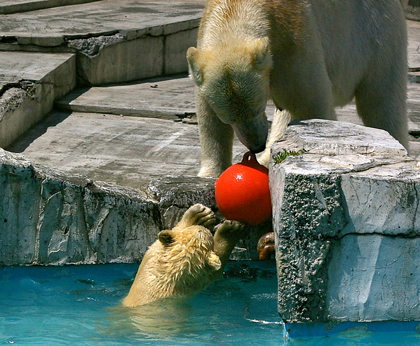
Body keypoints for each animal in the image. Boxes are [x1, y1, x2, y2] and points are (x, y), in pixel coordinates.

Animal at [189, 0, 408, 177]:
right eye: (230, 119)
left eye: (258, 108)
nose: (256, 145)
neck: (236, 10)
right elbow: (209, 119)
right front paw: (211, 173)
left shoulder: (291, 41)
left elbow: (309, 104)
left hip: (377, 33)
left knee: (381, 102)